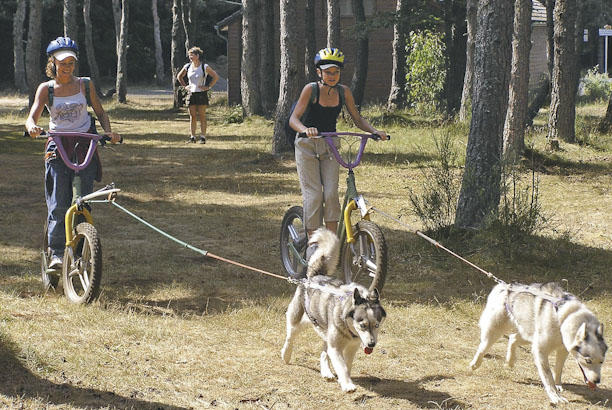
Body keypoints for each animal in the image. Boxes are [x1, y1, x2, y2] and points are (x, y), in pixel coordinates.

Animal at [280, 227, 384, 390]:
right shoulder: (335, 348)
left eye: (377, 325)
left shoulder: (351, 347)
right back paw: (286, 354)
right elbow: (341, 366)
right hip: (300, 321)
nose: (371, 344)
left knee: (324, 352)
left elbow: (346, 365)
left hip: (324, 332)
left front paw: (344, 379)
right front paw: (348, 385)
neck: (349, 330)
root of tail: (313, 277)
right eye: (362, 325)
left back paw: (326, 372)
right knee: (290, 336)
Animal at [470, 282, 604, 404]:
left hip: (528, 335)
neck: (565, 317)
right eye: (588, 361)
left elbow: (558, 368)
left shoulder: (563, 349)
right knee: (483, 347)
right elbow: (548, 377)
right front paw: (555, 397)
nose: (597, 381)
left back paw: (510, 361)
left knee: (513, 338)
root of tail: (504, 286)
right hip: (496, 330)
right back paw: (475, 364)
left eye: (601, 361)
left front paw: (558, 385)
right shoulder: (540, 351)